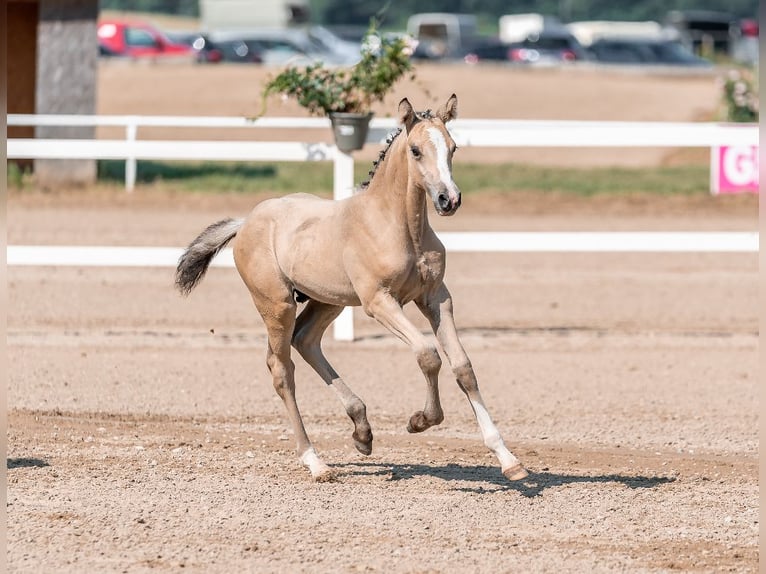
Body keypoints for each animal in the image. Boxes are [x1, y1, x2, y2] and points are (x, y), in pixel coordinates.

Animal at [176, 97, 532, 484]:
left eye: (453, 148)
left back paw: (362, 431)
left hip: (328, 301)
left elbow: (463, 366)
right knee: (281, 370)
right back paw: (316, 462)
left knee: (305, 341)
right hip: (277, 304)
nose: (448, 199)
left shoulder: (436, 297)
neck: (397, 226)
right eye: (416, 150)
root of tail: (245, 222)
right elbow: (428, 354)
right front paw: (420, 420)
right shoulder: (380, 302)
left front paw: (509, 459)